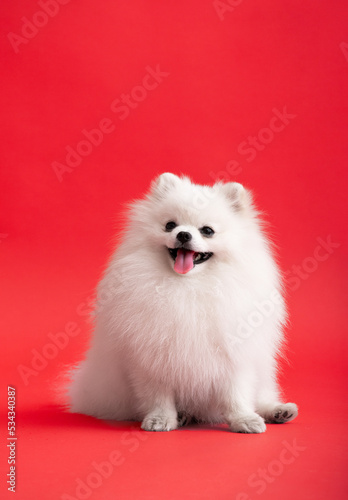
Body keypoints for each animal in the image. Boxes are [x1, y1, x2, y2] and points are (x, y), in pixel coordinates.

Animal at [66, 174, 298, 432]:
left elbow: (236, 394)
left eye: (207, 231)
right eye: (170, 225)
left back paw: (277, 410)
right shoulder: (151, 356)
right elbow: (158, 395)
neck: (188, 286)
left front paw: (244, 419)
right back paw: (184, 415)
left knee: (262, 395)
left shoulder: (234, 355)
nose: (183, 234)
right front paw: (161, 419)